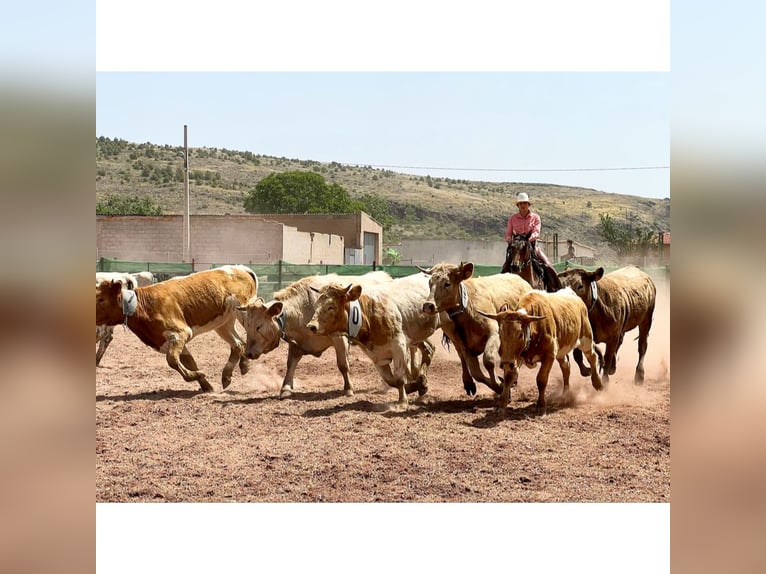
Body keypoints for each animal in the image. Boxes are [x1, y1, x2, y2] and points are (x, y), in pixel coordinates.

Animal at [95, 266, 258, 394]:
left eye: (101, 299)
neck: (144, 305)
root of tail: (242, 269)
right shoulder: (169, 341)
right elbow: (189, 362)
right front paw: (205, 384)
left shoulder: (179, 334)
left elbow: (172, 360)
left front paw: (197, 376)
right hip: (223, 324)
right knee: (238, 344)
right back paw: (232, 373)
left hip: (243, 311)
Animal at [304, 274, 440, 410]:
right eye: (316, 306)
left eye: (331, 306)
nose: (311, 326)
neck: (369, 315)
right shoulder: (377, 357)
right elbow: (391, 380)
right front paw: (416, 386)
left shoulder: (399, 347)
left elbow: (399, 377)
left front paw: (402, 402)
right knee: (429, 350)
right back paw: (422, 380)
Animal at [420, 264, 536, 398]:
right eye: (430, 282)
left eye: (447, 283)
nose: (428, 305)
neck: (467, 309)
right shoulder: (463, 345)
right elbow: (476, 372)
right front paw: (499, 385)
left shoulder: (494, 333)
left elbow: (488, 360)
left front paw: (500, 384)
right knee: (463, 360)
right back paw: (469, 383)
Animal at [480, 290, 608, 416]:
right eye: (500, 333)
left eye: (520, 334)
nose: (506, 363)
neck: (533, 328)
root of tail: (575, 296)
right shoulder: (516, 358)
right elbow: (508, 378)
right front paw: (501, 405)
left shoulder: (549, 355)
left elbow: (541, 380)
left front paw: (541, 406)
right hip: (561, 351)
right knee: (566, 366)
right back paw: (566, 394)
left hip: (586, 339)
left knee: (592, 357)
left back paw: (598, 384)